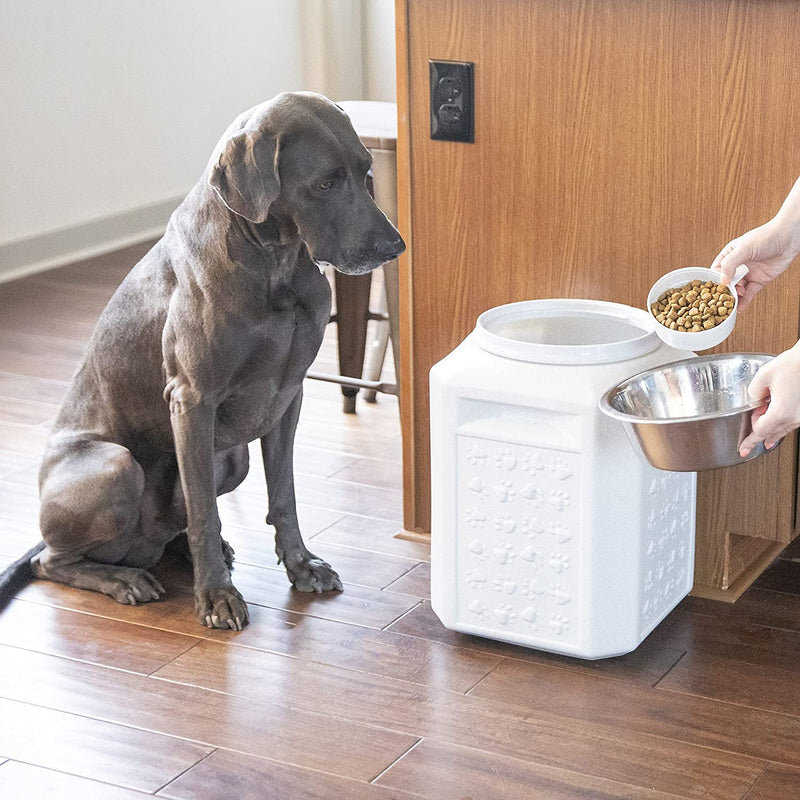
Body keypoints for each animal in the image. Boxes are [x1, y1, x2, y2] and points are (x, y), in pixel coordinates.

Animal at [0, 92, 404, 632]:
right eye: (325, 183)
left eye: (366, 172)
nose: (395, 247)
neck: (273, 262)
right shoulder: (192, 400)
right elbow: (205, 514)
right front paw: (215, 597)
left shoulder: (287, 396)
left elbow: (284, 494)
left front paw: (301, 566)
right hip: (114, 465)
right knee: (52, 561)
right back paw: (124, 579)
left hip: (231, 457)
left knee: (171, 526)